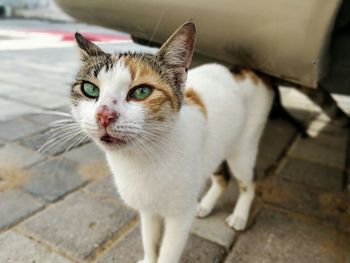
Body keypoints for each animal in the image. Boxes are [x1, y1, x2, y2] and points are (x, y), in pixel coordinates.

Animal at [70, 22, 274, 263]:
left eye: (141, 91)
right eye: (90, 89)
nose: (104, 115)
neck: (140, 160)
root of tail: (248, 71)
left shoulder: (180, 216)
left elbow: (167, 253)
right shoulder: (147, 211)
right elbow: (149, 240)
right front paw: (149, 258)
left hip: (242, 150)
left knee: (248, 183)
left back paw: (239, 216)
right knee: (222, 178)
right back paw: (205, 206)